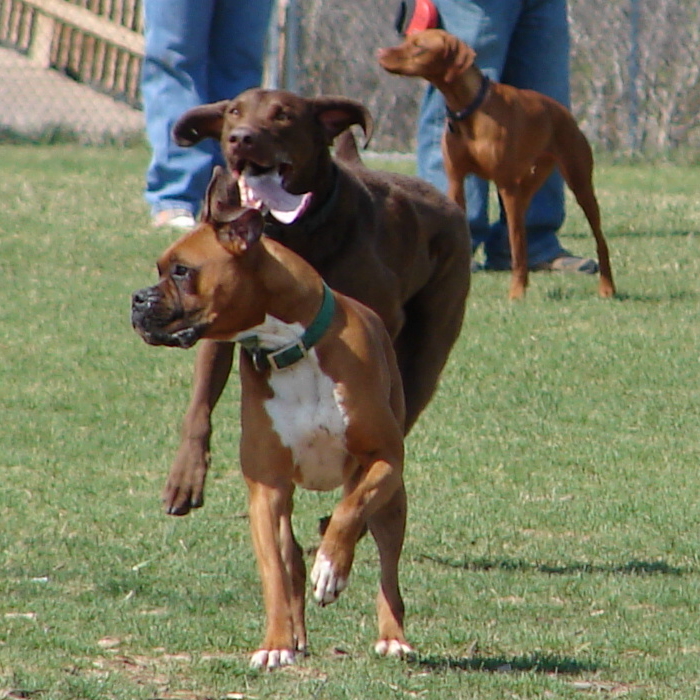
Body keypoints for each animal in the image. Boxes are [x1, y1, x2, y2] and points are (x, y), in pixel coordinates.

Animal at [133, 167, 410, 668]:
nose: (137, 299)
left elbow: (349, 512)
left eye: (181, 271)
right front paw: (275, 643)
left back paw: (391, 634)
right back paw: (296, 636)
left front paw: (332, 567)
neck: (289, 347)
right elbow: (275, 576)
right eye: (160, 270)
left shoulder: (385, 460)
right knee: (291, 558)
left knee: (386, 567)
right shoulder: (266, 490)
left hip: (394, 501)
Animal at [161, 86, 474, 516]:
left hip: (427, 352)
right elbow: (200, 404)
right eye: (234, 112)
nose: (241, 137)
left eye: (283, 115)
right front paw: (185, 477)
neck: (290, 232)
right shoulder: (217, 323)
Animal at [380, 29, 616, 300]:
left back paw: (607, 287)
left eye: (419, 47)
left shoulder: (506, 187)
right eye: (407, 40)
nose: (380, 52)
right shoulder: (456, 180)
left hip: (579, 185)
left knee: (598, 241)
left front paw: (516, 292)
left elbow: (517, 245)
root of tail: (564, 112)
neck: (470, 109)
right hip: (528, 186)